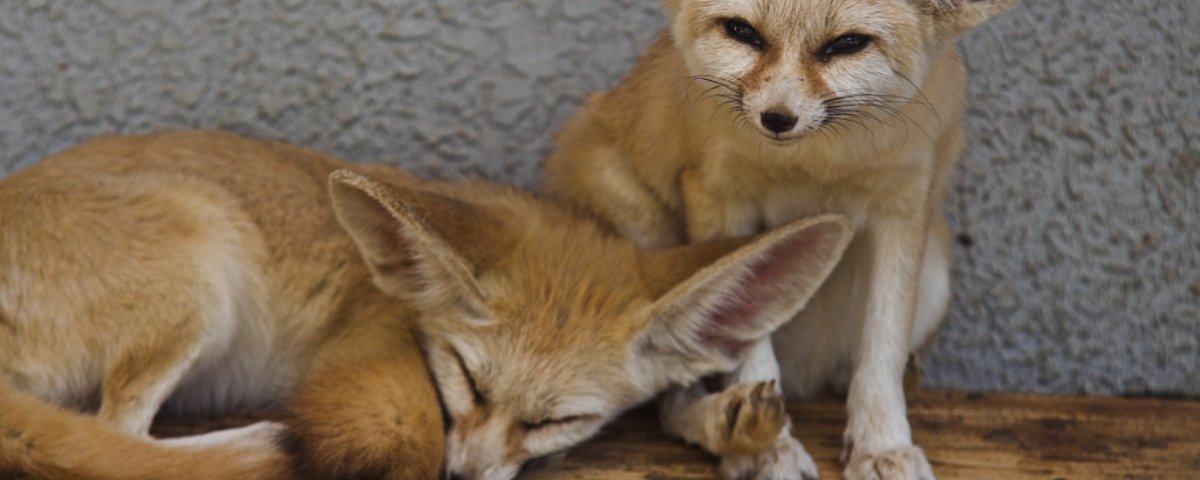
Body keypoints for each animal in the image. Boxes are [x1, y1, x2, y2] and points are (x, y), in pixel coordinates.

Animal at [4, 131, 859, 480]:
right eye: (469, 383)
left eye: (559, 420)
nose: (465, 477)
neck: (393, 292)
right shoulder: (377, 362)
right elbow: (404, 436)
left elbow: (681, 407)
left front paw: (739, 431)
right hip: (202, 267)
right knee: (115, 436)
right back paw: (251, 445)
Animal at [547, 0, 1022, 480]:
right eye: (742, 32)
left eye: (848, 43)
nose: (776, 118)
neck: (811, 164)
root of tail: (805, 375)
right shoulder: (722, 197)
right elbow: (747, 340)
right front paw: (768, 449)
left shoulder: (902, 206)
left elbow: (882, 350)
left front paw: (882, 445)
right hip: (645, 237)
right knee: (667, 396)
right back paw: (733, 428)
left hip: (936, 273)